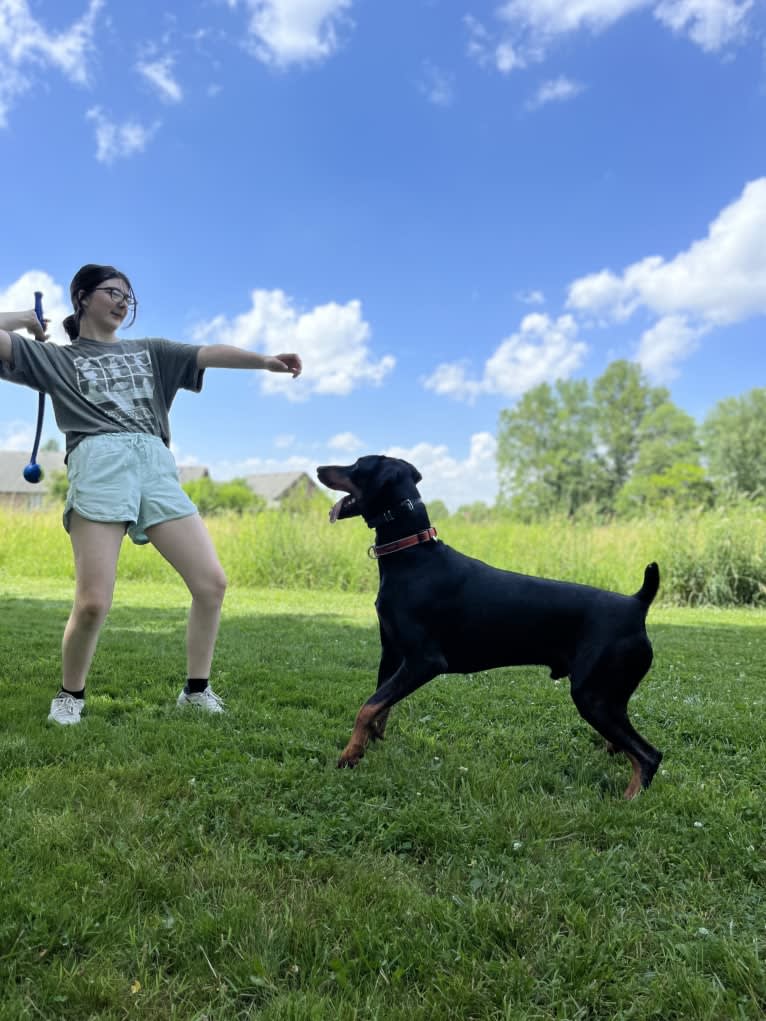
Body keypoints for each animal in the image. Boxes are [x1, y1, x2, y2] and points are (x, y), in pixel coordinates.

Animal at [314, 455, 661, 796]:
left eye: (357, 465)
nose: (318, 468)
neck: (412, 554)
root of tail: (637, 604)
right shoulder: (392, 654)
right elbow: (380, 706)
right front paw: (366, 747)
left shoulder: (424, 662)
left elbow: (367, 707)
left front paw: (348, 755)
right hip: (609, 698)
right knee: (626, 747)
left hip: (592, 697)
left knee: (649, 755)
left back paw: (627, 800)